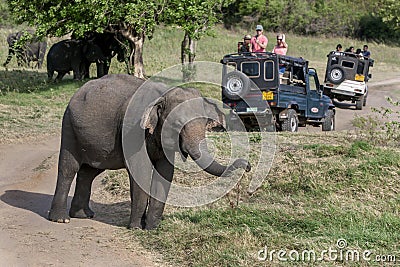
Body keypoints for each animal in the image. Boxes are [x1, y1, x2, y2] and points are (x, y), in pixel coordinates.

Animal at [48, 74, 252, 230]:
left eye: (205, 123)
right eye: (177, 125)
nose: (248, 166)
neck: (164, 94)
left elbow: (165, 173)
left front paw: (153, 227)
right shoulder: (132, 132)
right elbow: (142, 172)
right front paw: (136, 228)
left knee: (89, 172)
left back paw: (83, 215)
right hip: (69, 126)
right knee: (69, 168)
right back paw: (61, 219)